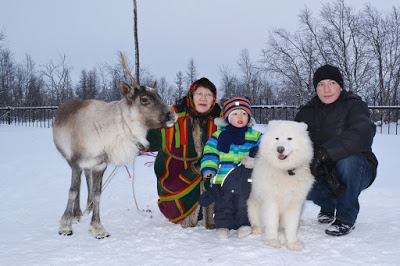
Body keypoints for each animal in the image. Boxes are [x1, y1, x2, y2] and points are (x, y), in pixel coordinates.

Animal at [247, 120, 316, 251]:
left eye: (289, 138)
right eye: (277, 138)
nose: (280, 149)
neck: (285, 170)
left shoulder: (295, 203)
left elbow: (292, 226)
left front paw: (293, 243)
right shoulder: (271, 202)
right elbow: (272, 223)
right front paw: (273, 241)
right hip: (253, 204)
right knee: (255, 221)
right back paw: (257, 229)